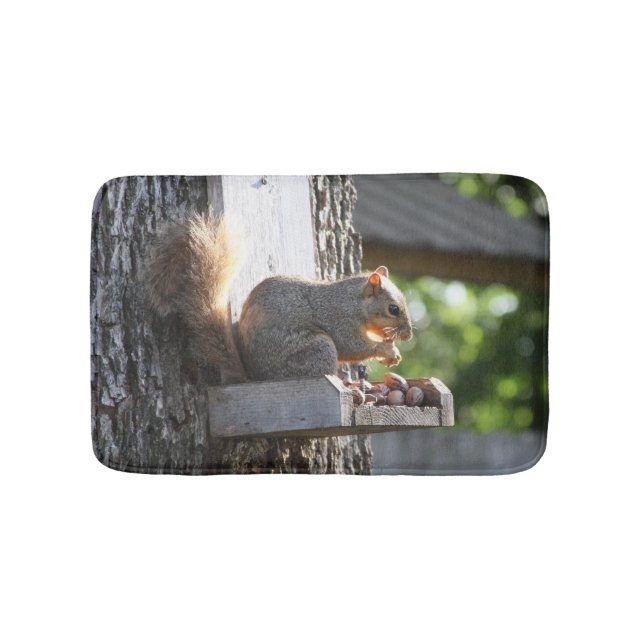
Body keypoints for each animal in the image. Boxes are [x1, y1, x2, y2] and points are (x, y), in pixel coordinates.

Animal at [144, 212, 413, 383]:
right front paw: (386, 349)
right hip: (315, 349)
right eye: (393, 309)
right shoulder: (339, 318)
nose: (409, 335)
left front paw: (394, 351)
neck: (355, 302)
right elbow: (352, 345)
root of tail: (256, 376)